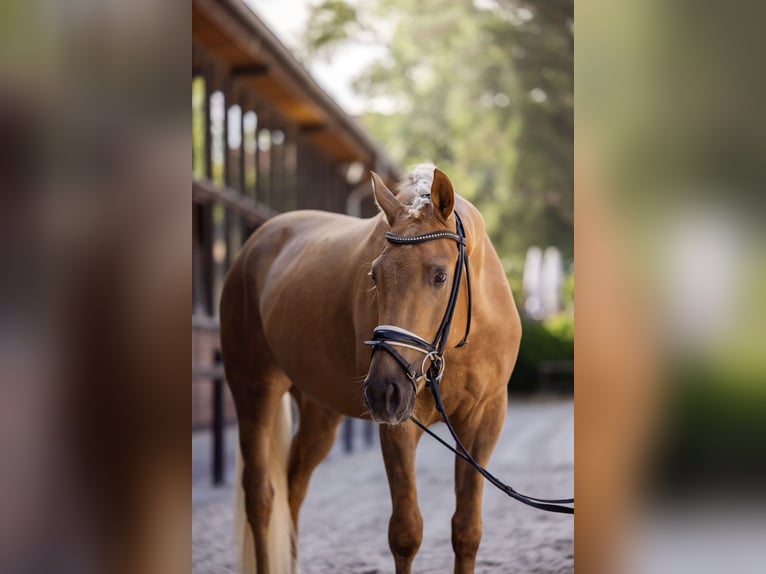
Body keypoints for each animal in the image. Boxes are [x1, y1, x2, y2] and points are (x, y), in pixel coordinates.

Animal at [219, 164, 524, 572]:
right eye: (375, 276)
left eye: (440, 275)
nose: (384, 390)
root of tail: (252, 247)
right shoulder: (398, 427)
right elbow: (406, 533)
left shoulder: (484, 422)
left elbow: (467, 530)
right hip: (253, 390)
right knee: (261, 496)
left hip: (319, 413)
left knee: (293, 486)